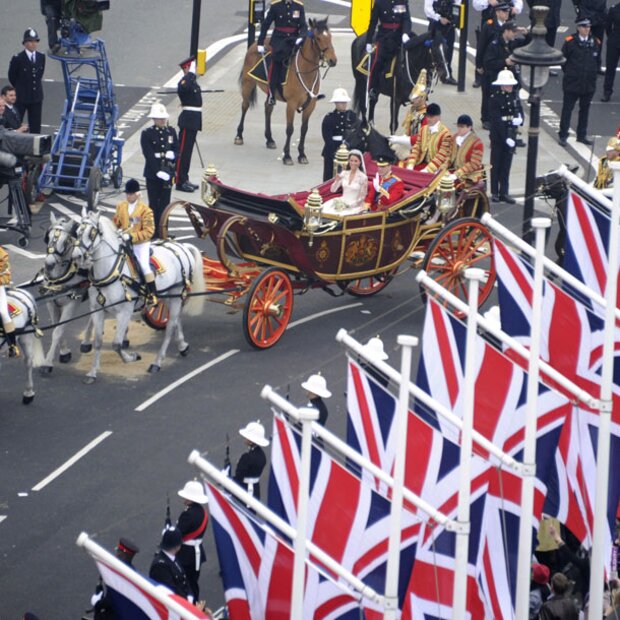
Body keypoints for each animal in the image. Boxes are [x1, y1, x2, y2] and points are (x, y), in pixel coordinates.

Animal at [39, 213, 95, 372]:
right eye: (48, 236)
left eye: (65, 241)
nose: (49, 264)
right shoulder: (51, 303)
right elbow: (57, 327)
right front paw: (64, 352)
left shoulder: (71, 304)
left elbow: (58, 331)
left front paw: (47, 363)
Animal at [70, 209, 206, 382]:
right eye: (77, 232)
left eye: (92, 233)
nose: (76, 256)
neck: (112, 271)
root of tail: (181, 247)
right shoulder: (98, 310)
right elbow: (99, 342)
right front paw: (93, 372)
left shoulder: (124, 311)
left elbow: (116, 344)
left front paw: (132, 357)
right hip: (167, 297)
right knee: (176, 320)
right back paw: (182, 346)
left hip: (175, 295)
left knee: (170, 328)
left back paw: (157, 362)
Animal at [234, 17, 336, 166]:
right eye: (318, 38)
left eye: (330, 37)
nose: (333, 60)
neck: (306, 72)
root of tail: (255, 44)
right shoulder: (291, 104)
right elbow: (290, 129)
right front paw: (287, 156)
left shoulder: (310, 105)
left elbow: (304, 129)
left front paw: (301, 154)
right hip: (248, 84)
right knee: (245, 106)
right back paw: (239, 136)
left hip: (270, 91)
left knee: (268, 108)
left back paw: (269, 139)